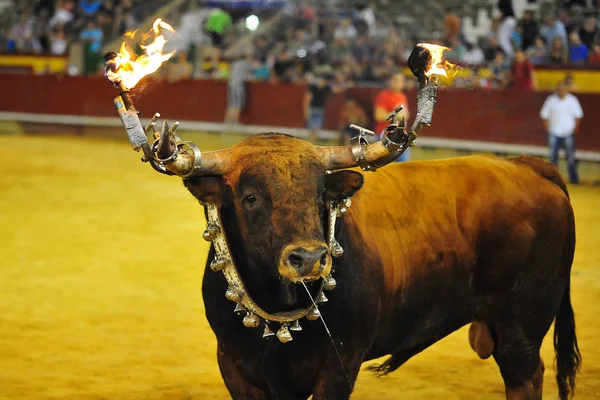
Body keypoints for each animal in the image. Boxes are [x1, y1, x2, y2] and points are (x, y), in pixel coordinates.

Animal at [151, 129, 580, 400]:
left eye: (320, 194)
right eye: (250, 197)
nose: (309, 258)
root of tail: (525, 166)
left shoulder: (338, 368)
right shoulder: (236, 367)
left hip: (521, 327)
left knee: (525, 378)